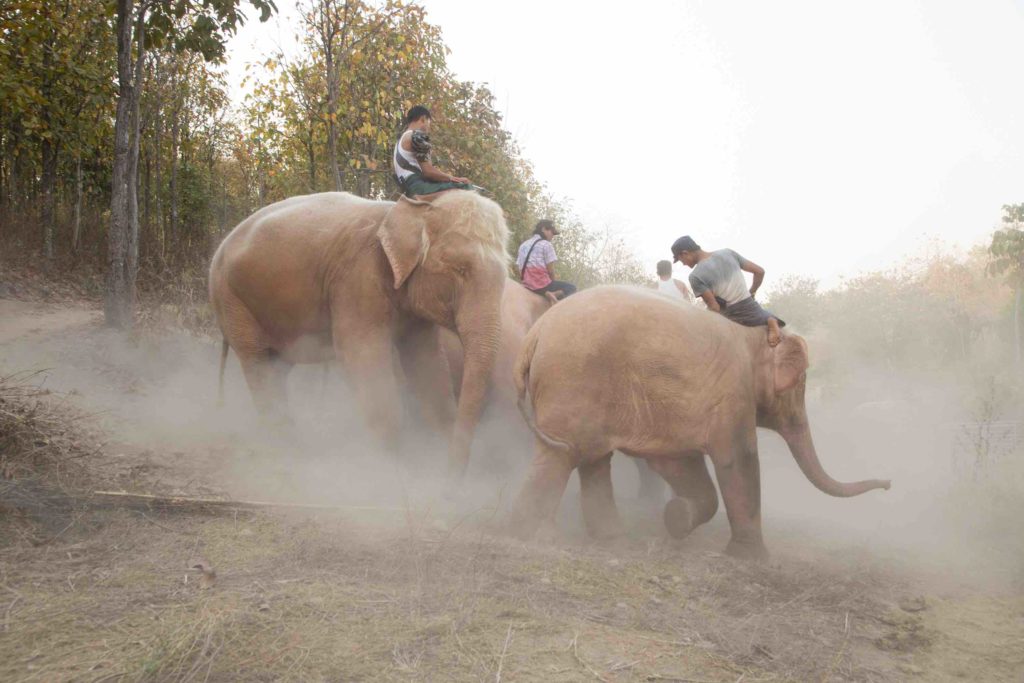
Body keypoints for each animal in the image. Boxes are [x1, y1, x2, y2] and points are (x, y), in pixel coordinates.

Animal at [209, 189, 509, 479]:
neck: (411, 210)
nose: (449, 485)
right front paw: (392, 469)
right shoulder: (357, 279)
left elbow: (426, 361)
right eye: (460, 269)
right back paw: (285, 449)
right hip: (231, 299)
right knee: (257, 361)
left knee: (277, 365)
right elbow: (361, 355)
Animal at [509, 286, 888, 557]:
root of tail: (534, 335)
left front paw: (676, 518)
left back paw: (612, 540)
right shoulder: (733, 394)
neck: (755, 337)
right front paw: (752, 558)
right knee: (562, 455)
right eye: (802, 384)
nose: (888, 484)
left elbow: (680, 463)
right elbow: (738, 460)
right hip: (573, 382)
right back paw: (534, 536)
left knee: (593, 459)